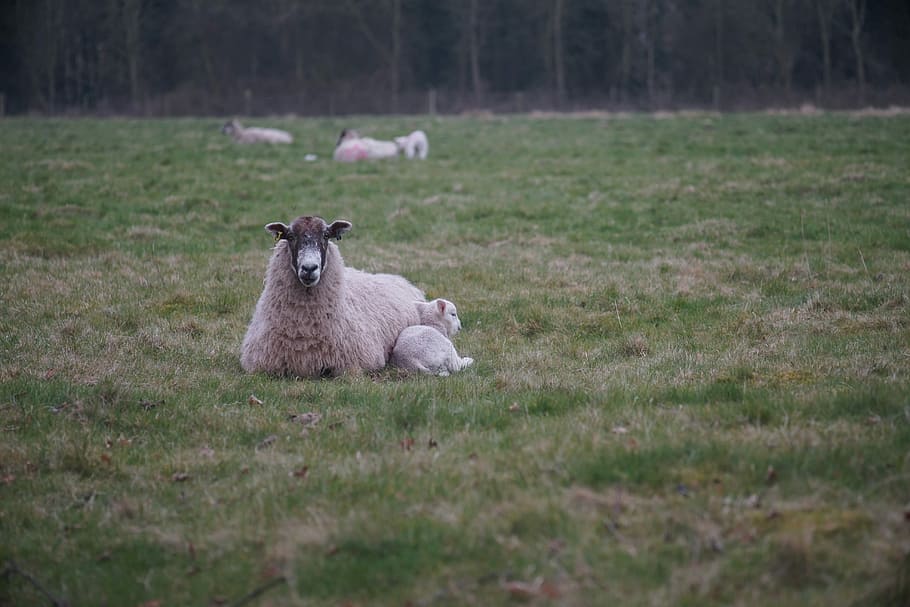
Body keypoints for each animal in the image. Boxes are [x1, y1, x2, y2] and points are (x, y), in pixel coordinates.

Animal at [240, 215, 425, 377]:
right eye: (290, 236)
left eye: (326, 235)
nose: (309, 268)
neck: (304, 331)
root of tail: (399, 278)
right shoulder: (261, 365)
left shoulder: (354, 365)